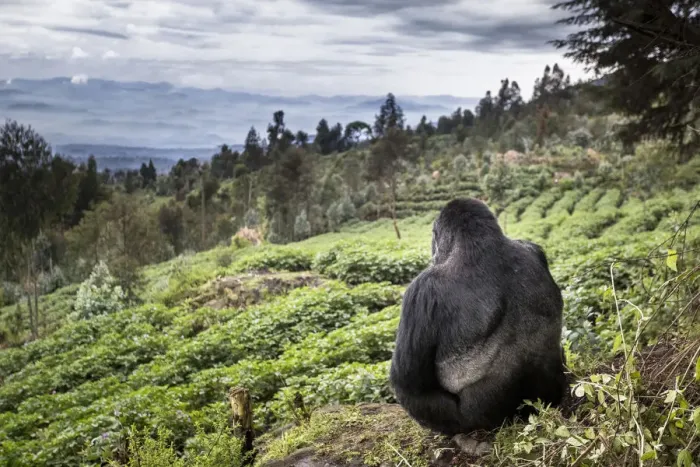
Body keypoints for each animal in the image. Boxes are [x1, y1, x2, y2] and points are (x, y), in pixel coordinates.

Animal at [389, 198, 566, 437]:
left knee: (416, 395)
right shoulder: (534, 248)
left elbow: (407, 380)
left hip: (472, 421)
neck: (481, 244)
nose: (433, 253)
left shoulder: (421, 290)